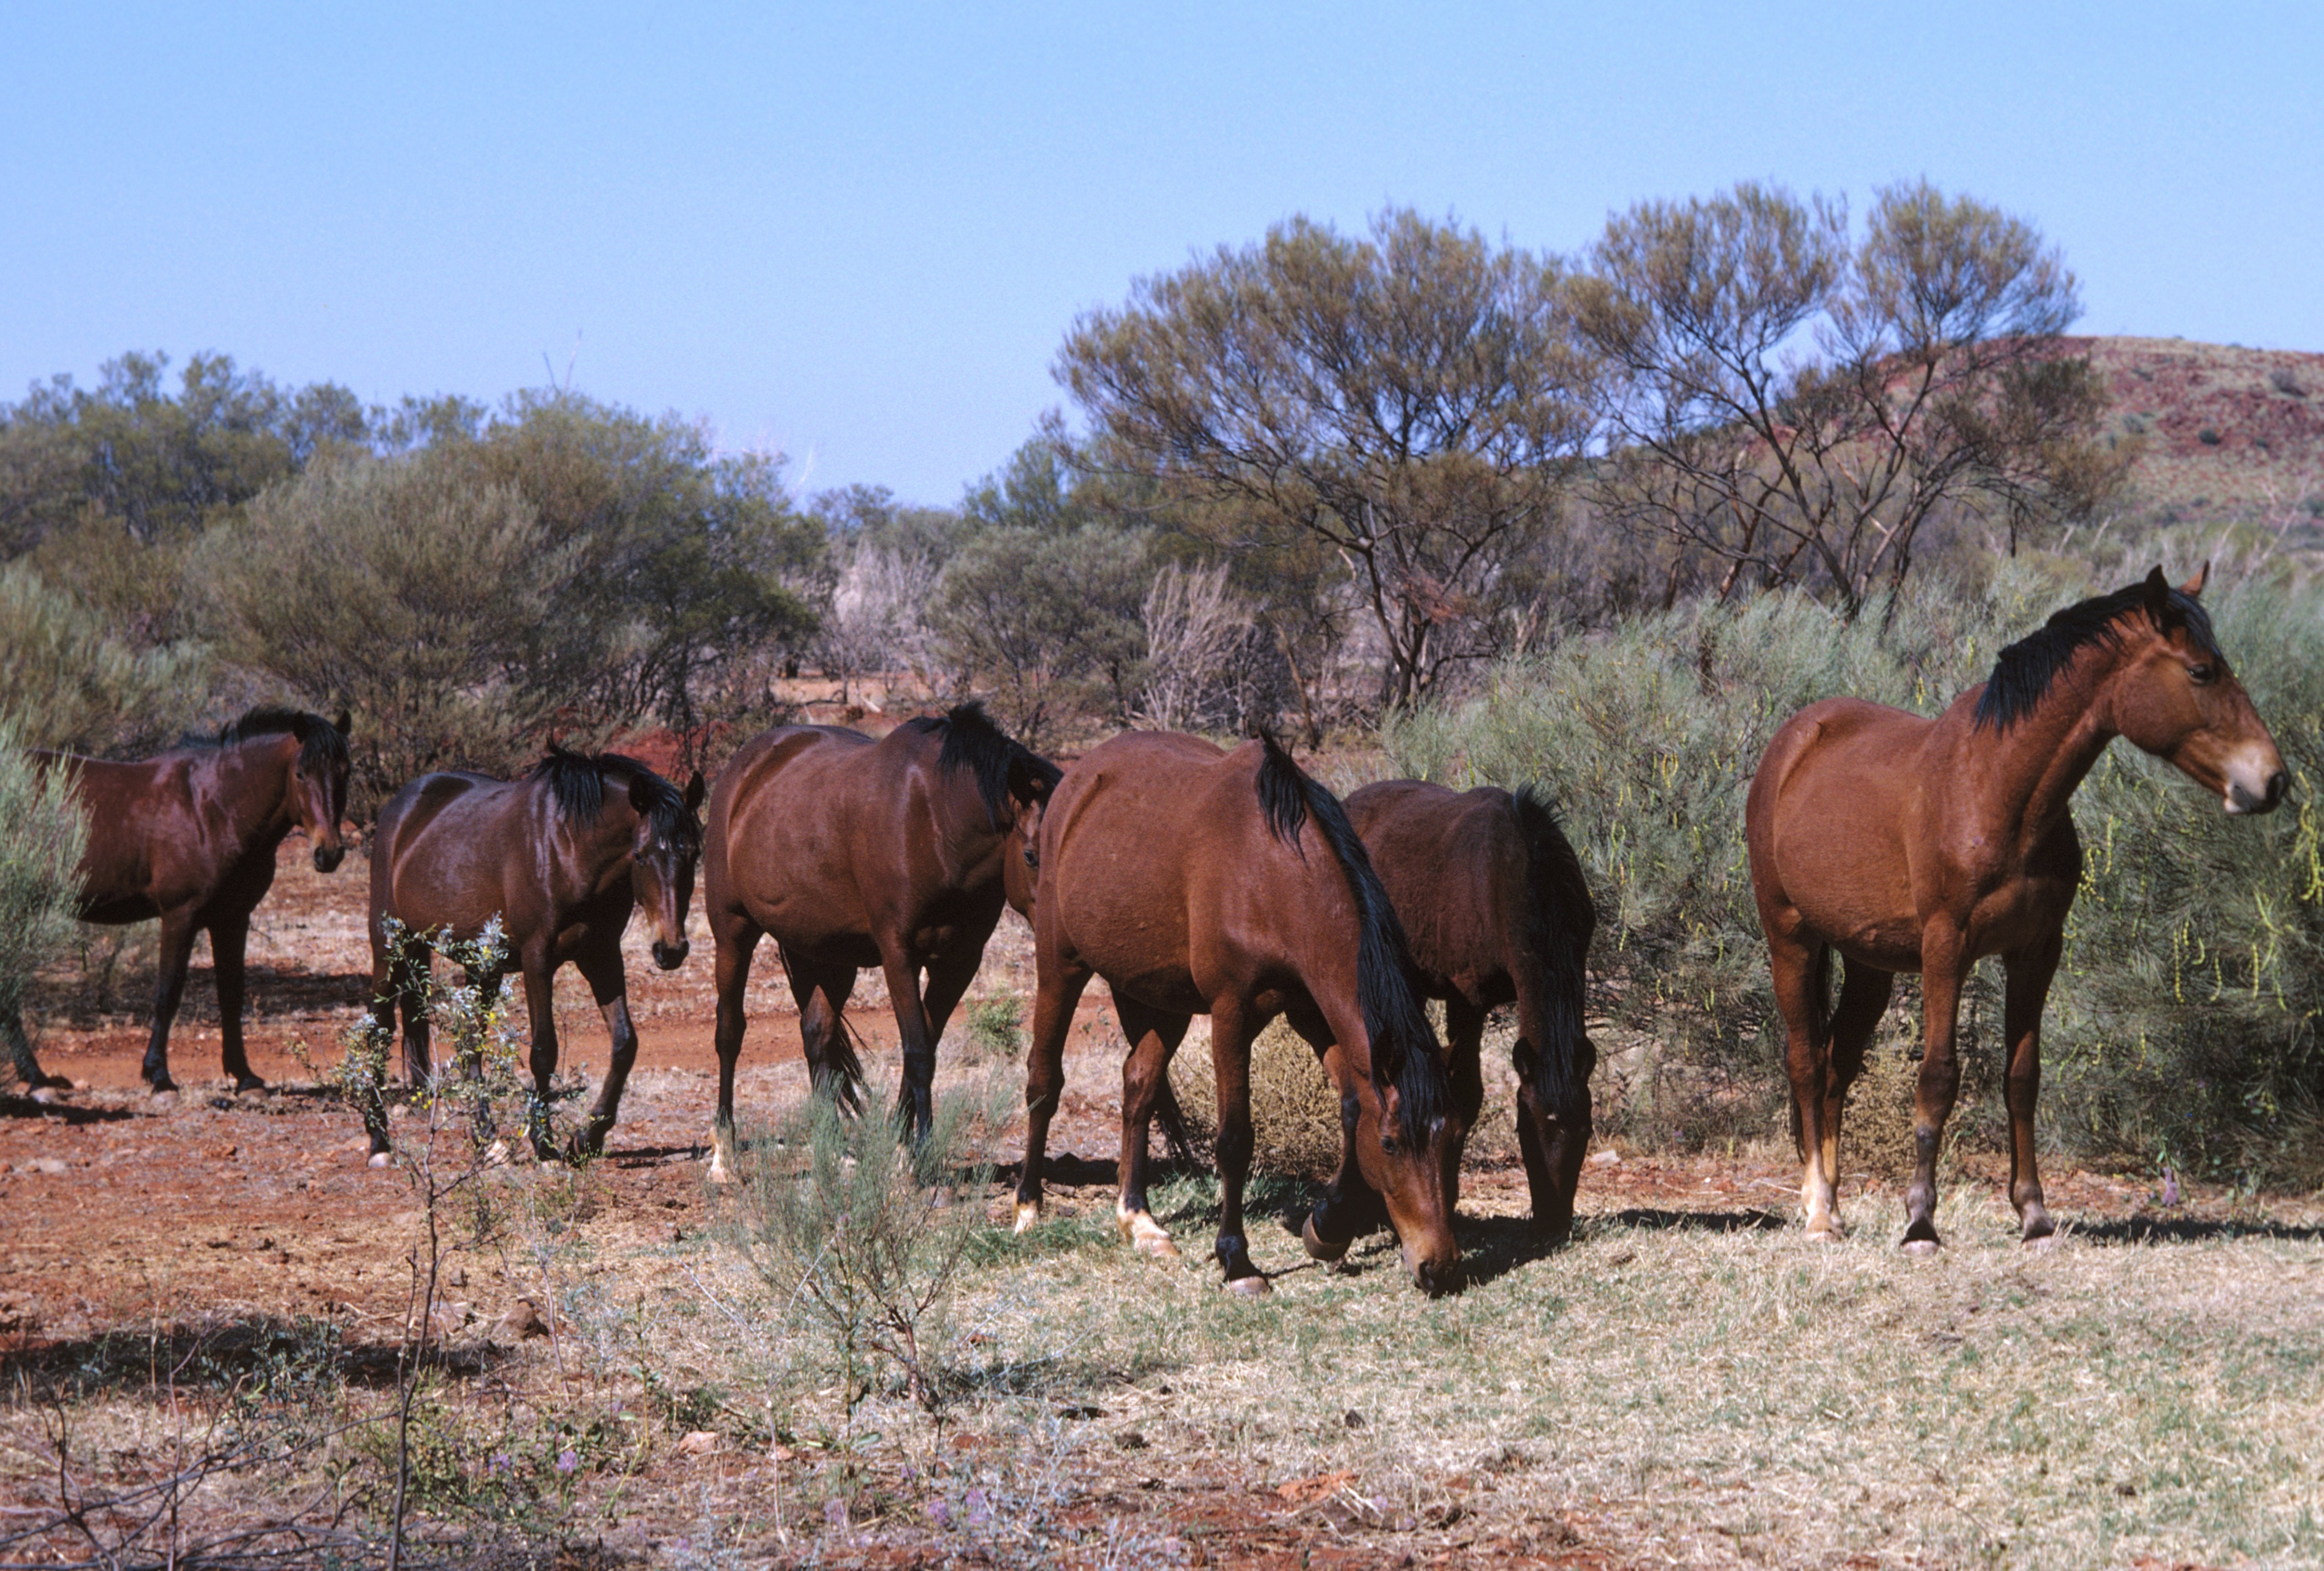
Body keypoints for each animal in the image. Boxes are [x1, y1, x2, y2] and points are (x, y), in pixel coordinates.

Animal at [2, 706, 349, 1092]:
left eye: (345, 771)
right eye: (301, 773)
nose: (329, 853)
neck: (213, 807)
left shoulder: (233, 919)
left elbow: (232, 994)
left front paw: (243, 1074)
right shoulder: (180, 916)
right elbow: (168, 994)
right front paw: (159, 1074)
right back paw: (34, 1074)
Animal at [365, 743, 697, 1162]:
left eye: (694, 854)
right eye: (640, 855)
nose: (671, 949)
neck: (570, 847)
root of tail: (401, 809)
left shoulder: (602, 955)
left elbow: (625, 1044)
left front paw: (588, 1137)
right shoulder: (537, 959)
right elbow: (544, 1051)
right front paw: (545, 1141)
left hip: (479, 966)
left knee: (469, 1041)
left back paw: (484, 1135)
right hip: (389, 947)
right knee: (378, 1031)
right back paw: (379, 1140)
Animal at [697, 701, 1064, 1166]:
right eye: (1032, 855)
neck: (937, 820)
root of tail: (744, 769)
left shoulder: (959, 961)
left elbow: (926, 1045)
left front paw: (902, 1139)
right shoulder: (899, 954)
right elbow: (919, 1049)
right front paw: (920, 1151)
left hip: (822, 953)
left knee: (817, 1034)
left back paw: (833, 1144)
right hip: (733, 931)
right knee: (730, 1031)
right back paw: (724, 1150)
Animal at [1748, 567, 2287, 1255]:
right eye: (2200, 671)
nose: (2272, 781)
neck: (1998, 789)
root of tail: (1793, 742)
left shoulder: (2036, 950)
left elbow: (2022, 1078)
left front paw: (2034, 1215)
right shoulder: (1946, 949)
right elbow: (1939, 1077)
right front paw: (1920, 1222)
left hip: (1869, 963)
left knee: (1838, 1066)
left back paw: (1837, 1207)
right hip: (1789, 938)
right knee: (1806, 1064)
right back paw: (1818, 1211)